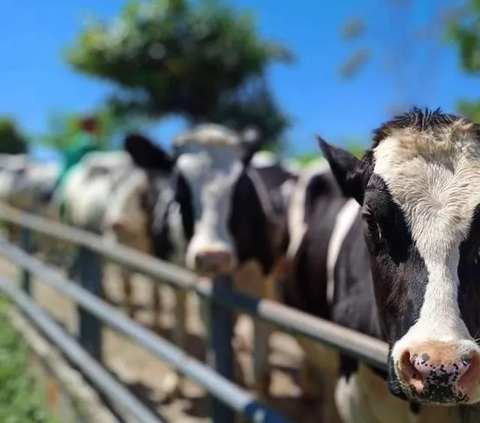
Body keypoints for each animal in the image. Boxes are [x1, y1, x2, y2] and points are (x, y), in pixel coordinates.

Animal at [124, 124, 296, 402]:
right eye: (180, 188)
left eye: (242, 188)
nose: (212, 256)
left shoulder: (261, 281)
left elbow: (260, 364)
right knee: (180, 325)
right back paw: (175, 380)